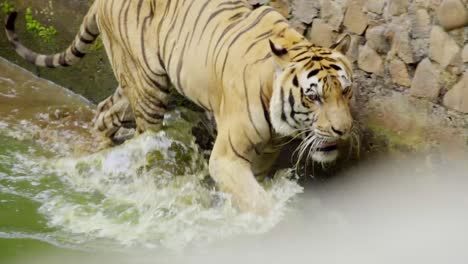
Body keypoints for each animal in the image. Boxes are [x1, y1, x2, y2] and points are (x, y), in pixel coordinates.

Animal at [4, 0, 354, 213]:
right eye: (313, 96)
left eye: (346, 91)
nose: (344, 130)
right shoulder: (226, 157)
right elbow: (256, 201)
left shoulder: (265, 153)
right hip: (149, 90)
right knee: (145, 143)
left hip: (129, 83)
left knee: (104, 114)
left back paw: (98, 155)